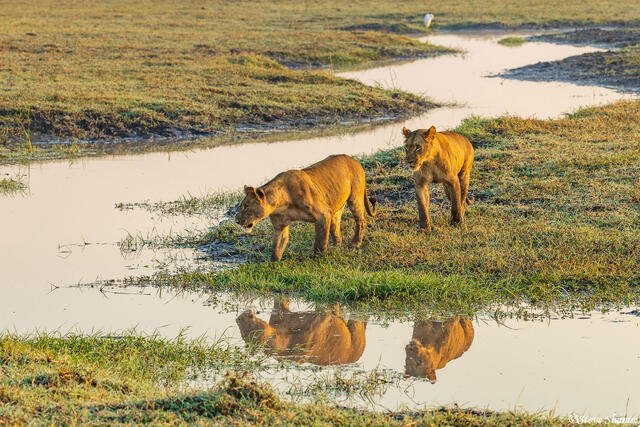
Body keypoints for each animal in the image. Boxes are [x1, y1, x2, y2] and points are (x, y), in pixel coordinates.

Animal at [236, 154, 376, 261]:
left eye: (246, 206)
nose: (236, 221)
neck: (280, 203)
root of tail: (354, 160)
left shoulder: (323, 214)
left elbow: (320, 242)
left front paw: (318, 258)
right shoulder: (280, 225)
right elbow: (276, 248)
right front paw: (273, 264)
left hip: (354, 198)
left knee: (361, 221)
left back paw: (355, 244)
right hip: (336, 207)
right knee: (336, 227)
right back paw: (337, 246)